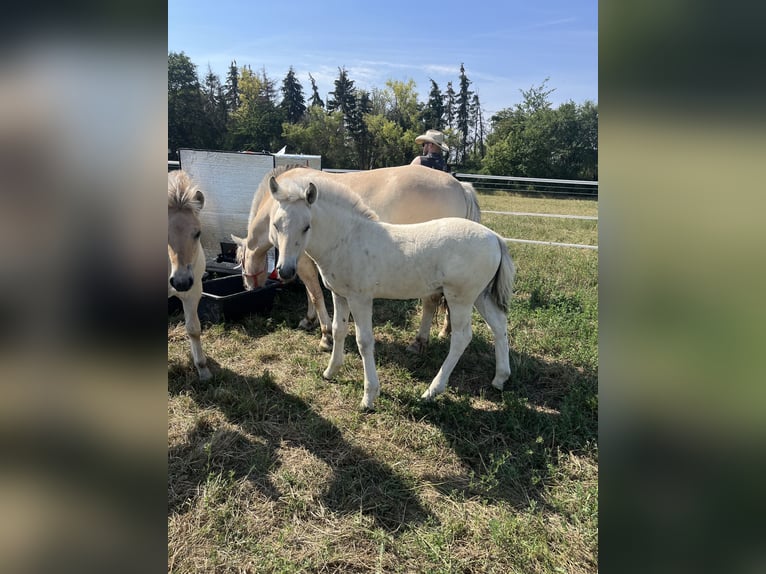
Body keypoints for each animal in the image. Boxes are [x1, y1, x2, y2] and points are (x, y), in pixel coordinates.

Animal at [231, 166, 484, 354]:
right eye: (276, 225)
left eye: (240, 261)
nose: (247, 286)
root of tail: (461, 186)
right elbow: (309, 293)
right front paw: (309, 320)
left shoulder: (302, 261)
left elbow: (315, 293)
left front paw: (325, 335)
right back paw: (445, 330)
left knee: (430, 302)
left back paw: (419, 341)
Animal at [270, 173, 516, 412]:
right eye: (275, 225)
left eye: (306, 226)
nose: (285, 271)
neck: (347, 239)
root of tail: (495, 237)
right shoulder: (339, 294)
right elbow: (339, 330)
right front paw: (331, 371)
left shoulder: (360, 298)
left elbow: (364, 341)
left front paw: (368, 397)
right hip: (480, 296)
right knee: (499, 326)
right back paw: (500, 379)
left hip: (460, 299)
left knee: (462, 337)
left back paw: (432, 390)